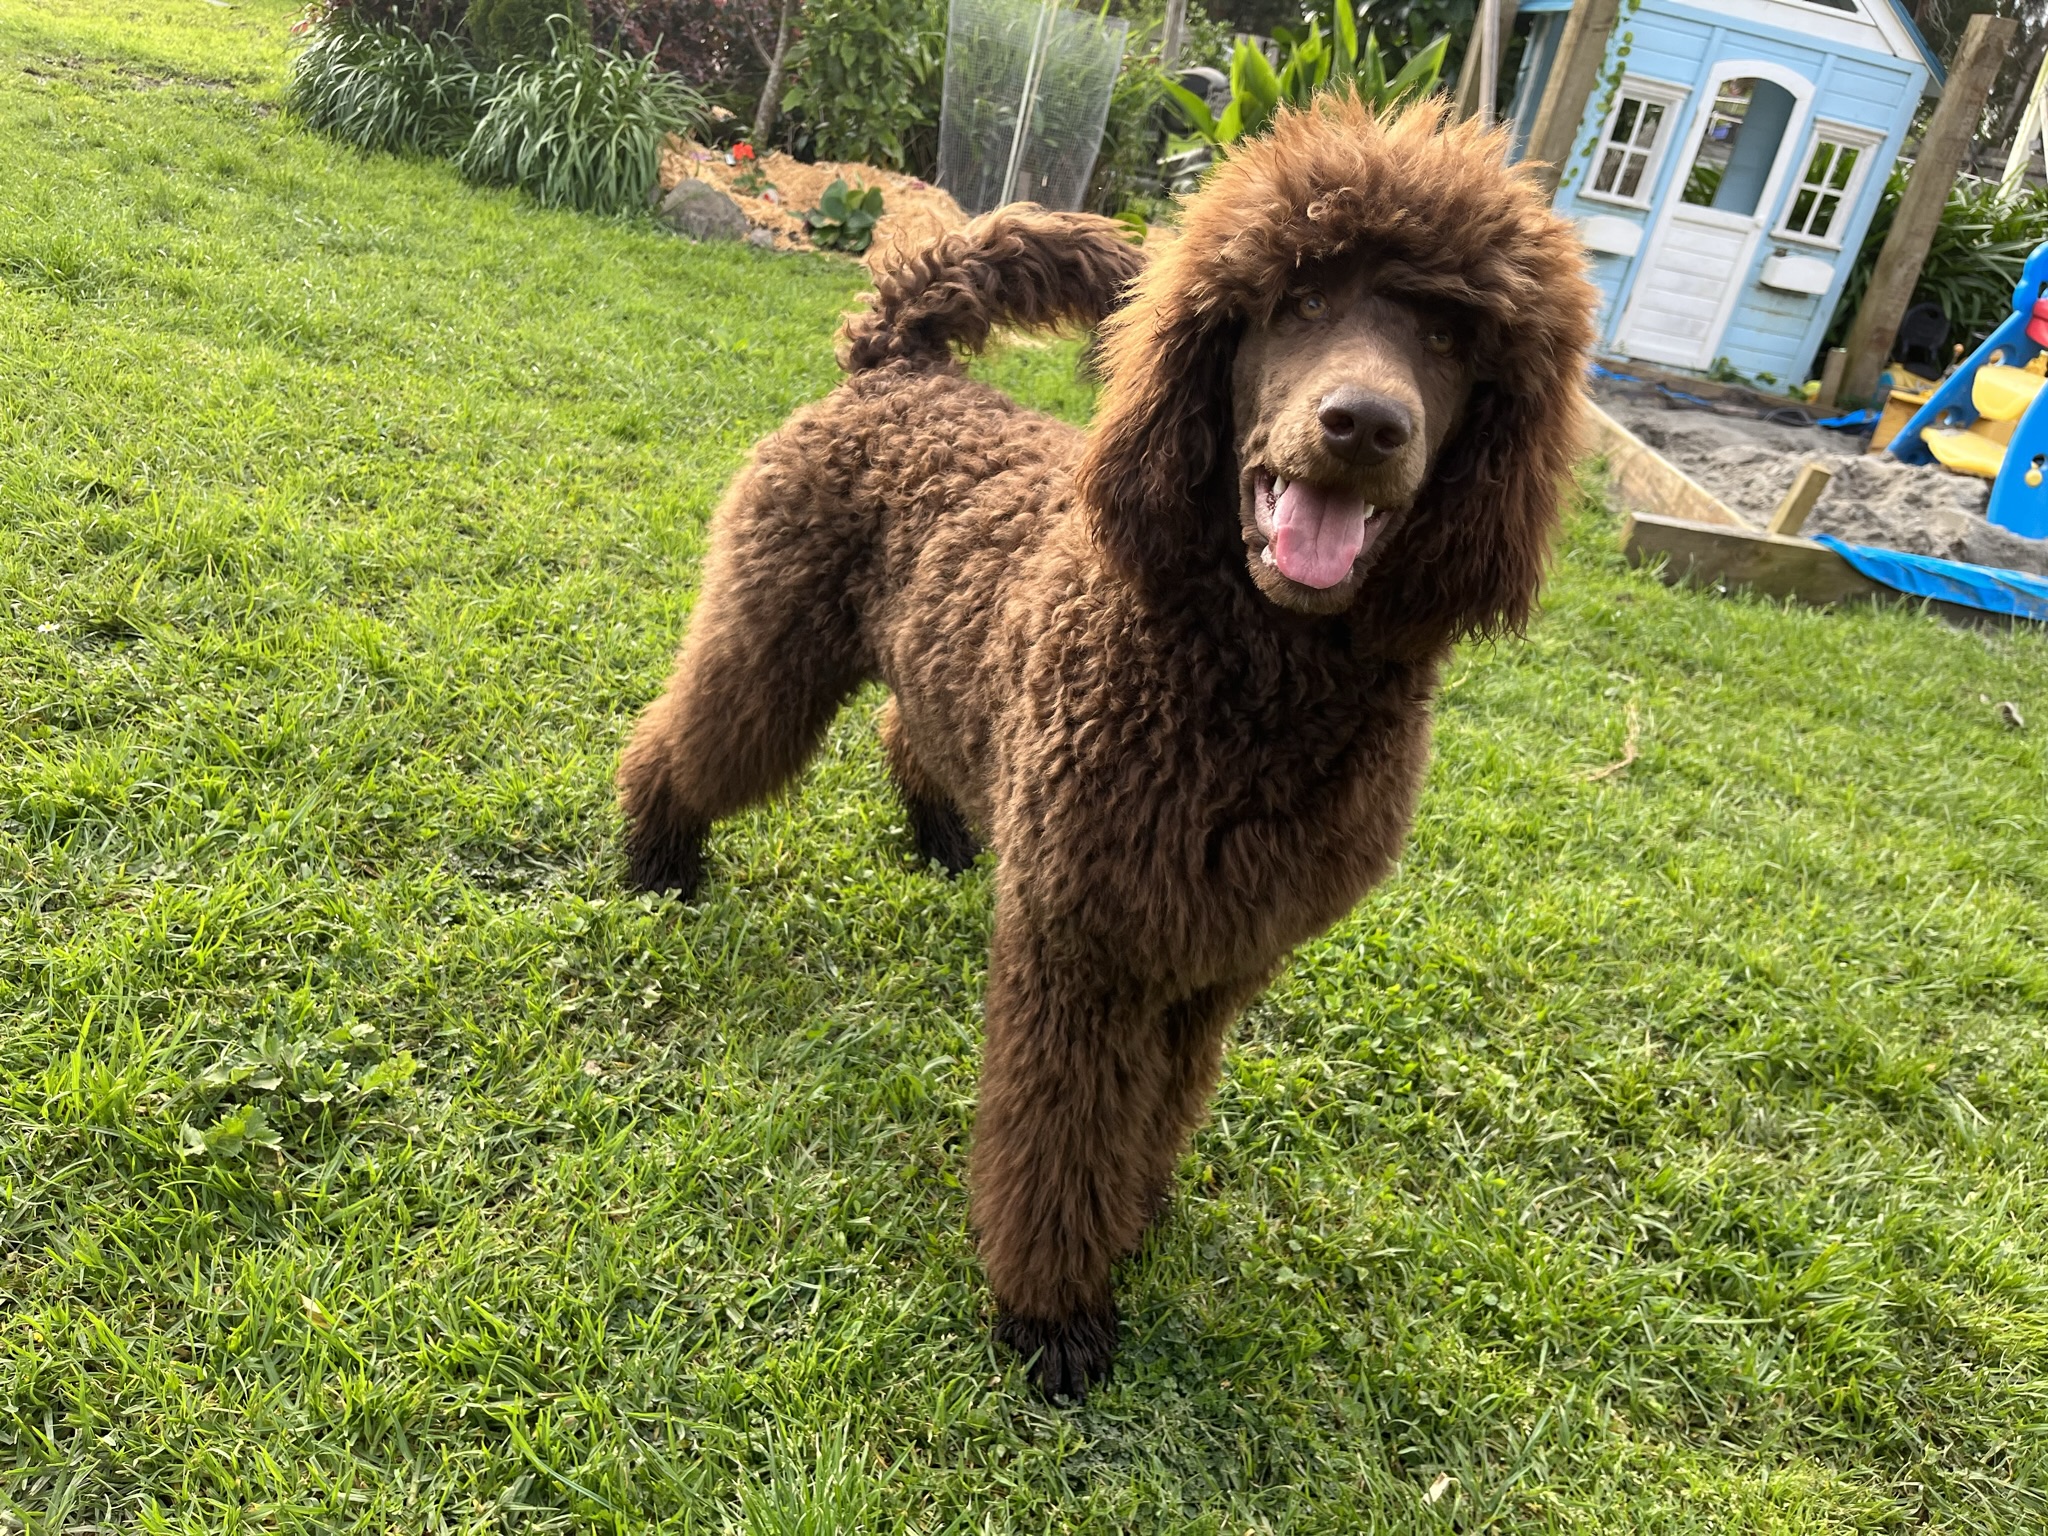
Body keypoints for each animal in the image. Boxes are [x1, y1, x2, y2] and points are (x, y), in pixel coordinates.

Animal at [618, 93, 1597, 1392]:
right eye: (1292, 305)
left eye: (1447, 335)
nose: (1362, 424)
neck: (1250, 690)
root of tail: (899, 361)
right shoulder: (1082, 951)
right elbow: (1062, 1139)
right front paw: (1053, 1317)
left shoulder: (1213, 964)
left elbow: (1149, 1119)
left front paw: (1131, 1223)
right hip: (771, 646)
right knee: (686, 741)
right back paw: (656, 860)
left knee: (904, 724)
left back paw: (939, 837)